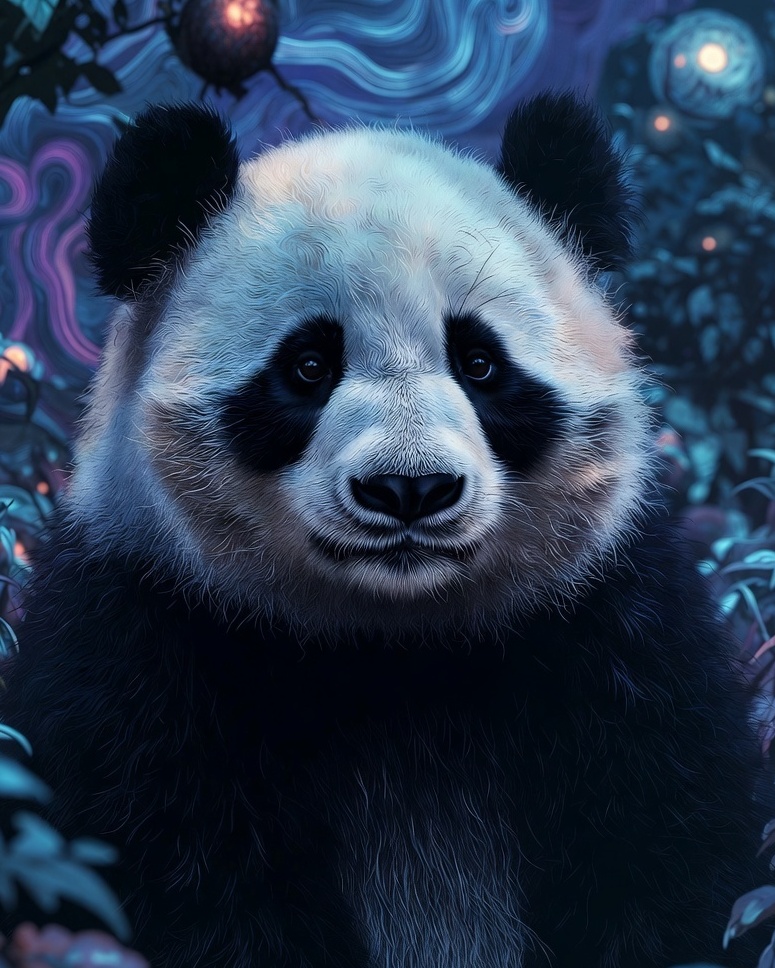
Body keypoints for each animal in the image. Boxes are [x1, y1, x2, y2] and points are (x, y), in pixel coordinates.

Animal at [0, 93, 769, 968]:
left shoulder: (611, 631)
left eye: (479, 361)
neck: (393, 646)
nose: (410, 488)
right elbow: (176, 869)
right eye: (307, 366)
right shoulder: (141, 641)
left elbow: (666, 851)